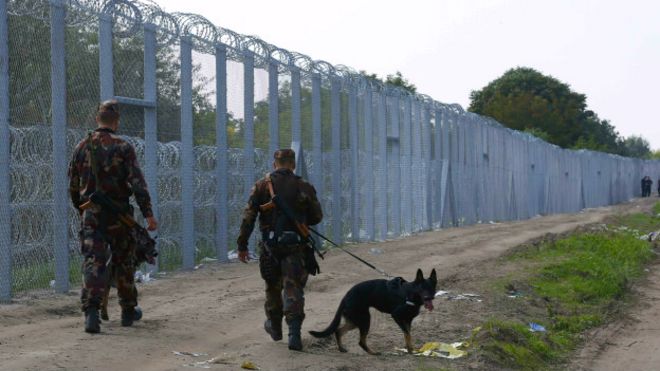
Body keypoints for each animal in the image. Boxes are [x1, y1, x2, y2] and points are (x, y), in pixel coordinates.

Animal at [310, 270, 438, 354]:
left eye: (432, 288)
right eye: (422, 288)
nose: (429, 298)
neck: (410, 293)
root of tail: (345, 297)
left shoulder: (407, 320)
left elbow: (408, 334)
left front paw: (409, 348)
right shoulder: (396, 316)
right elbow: (407, 334)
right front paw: (410, 350)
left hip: (355, 321)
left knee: (338, 331)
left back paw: (342, 349)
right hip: (365, 320)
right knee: (360, 341)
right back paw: (373, 352)